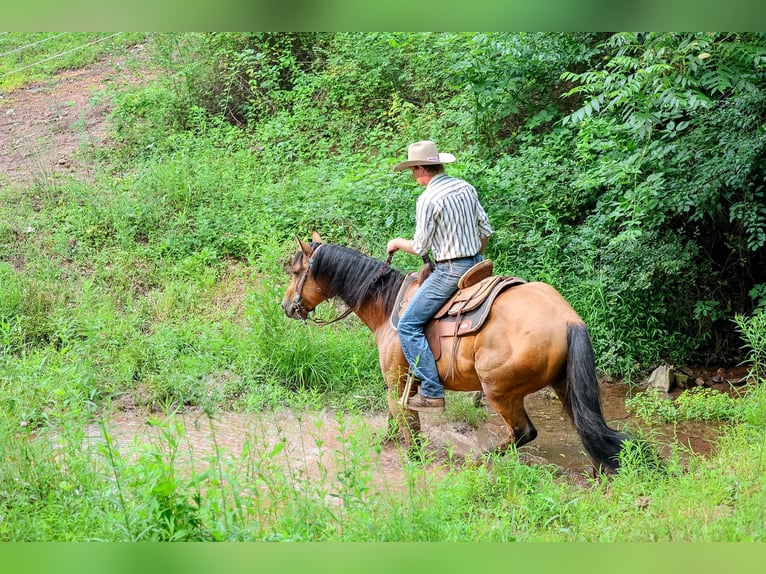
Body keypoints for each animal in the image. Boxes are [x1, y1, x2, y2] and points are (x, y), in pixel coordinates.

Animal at [281, 232, 629, 472]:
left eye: (296, 272)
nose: (286, 306)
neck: (388, 307)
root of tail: (568, 319)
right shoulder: (401, 385)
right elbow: (394, 421)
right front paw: (385, 445)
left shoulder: (398, 382)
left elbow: (407, 423)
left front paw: (412, 457)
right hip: (564, 385)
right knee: (587, 428)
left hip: (500, 390)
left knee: (523, 431)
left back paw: (481, 458)